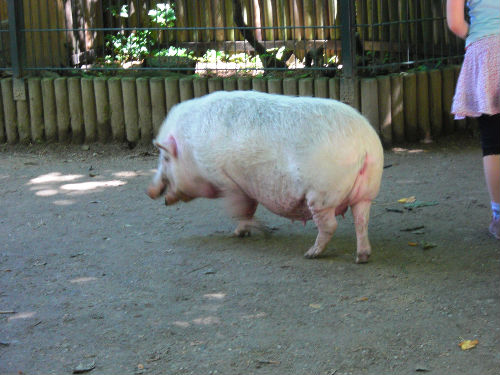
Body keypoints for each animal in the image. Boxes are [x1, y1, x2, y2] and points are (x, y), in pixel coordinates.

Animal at [146, 90, 384, 264]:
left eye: (165, 158)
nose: (149, 191)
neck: (191, 151)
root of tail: (365, 145)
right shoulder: (242, 186)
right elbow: (248, 208)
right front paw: (246, 232)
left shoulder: (228, 182)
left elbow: (240, 210)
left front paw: (246, 232)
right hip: (366, 193)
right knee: (362, 220)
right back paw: (362, 257)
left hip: (321, 194)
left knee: (330, 225)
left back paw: (310, 254)